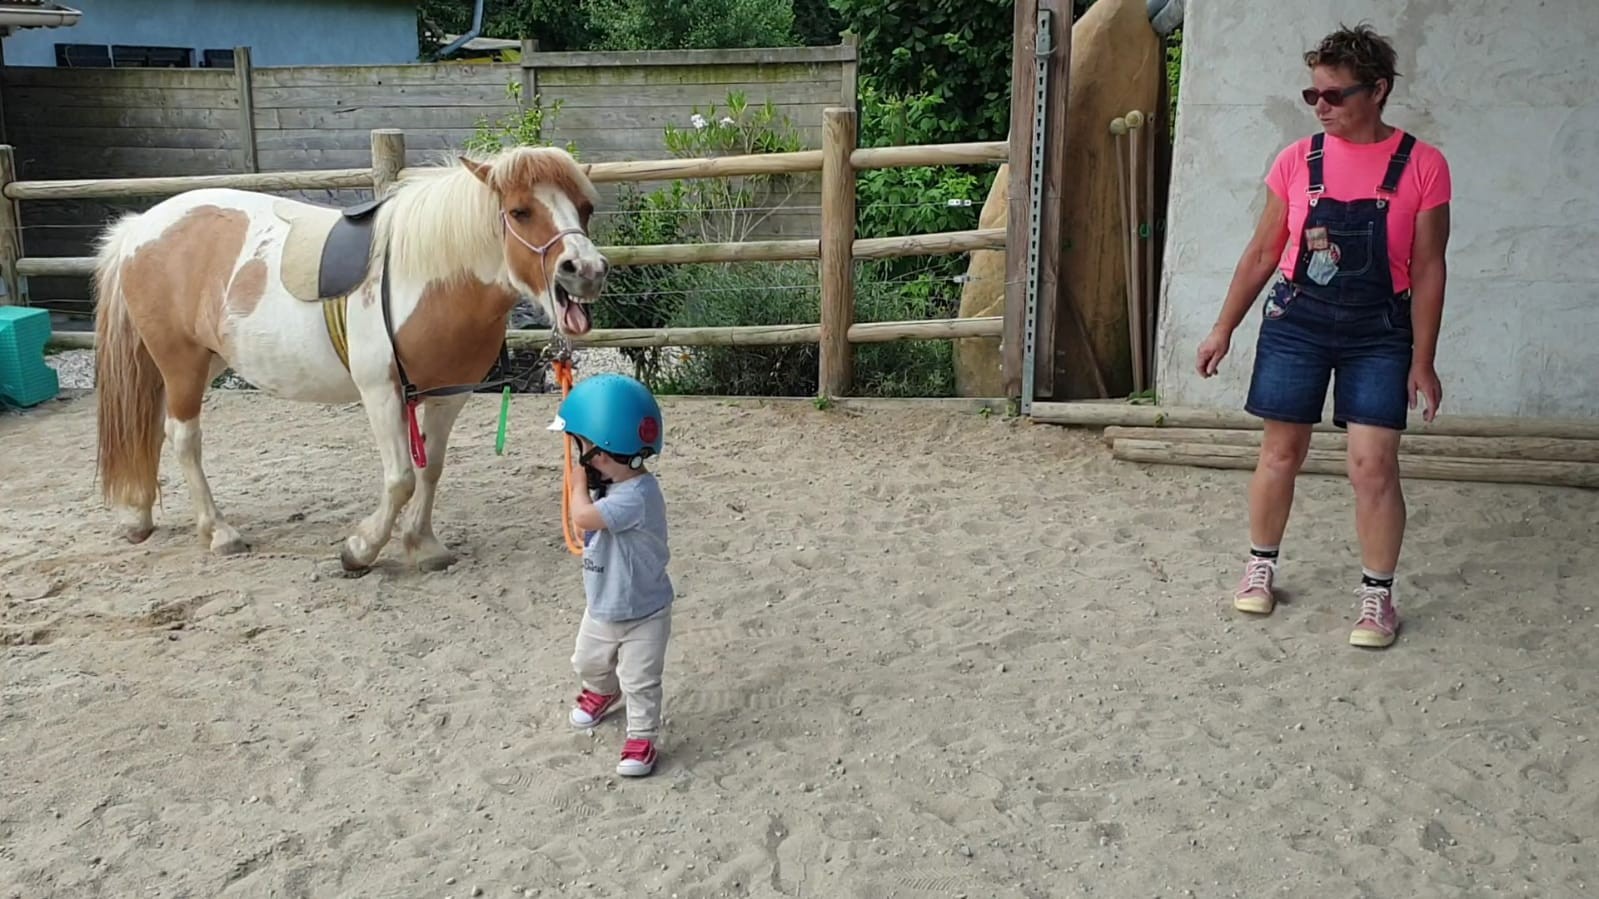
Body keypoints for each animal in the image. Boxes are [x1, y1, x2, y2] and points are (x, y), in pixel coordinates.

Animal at [93, 143, 607, 569]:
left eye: (585, 209)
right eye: (520, 211)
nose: (585, 270)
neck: (429, 277)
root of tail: (140, 228)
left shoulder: (448, 393)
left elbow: (431, 469)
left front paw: (423, 544)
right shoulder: (381, 390)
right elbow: (400, 478)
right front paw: (361, 549)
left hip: (203, 359)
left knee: (152, 428)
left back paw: (138, 516)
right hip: (180, 359)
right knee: (182, 438)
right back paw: (218, 532)